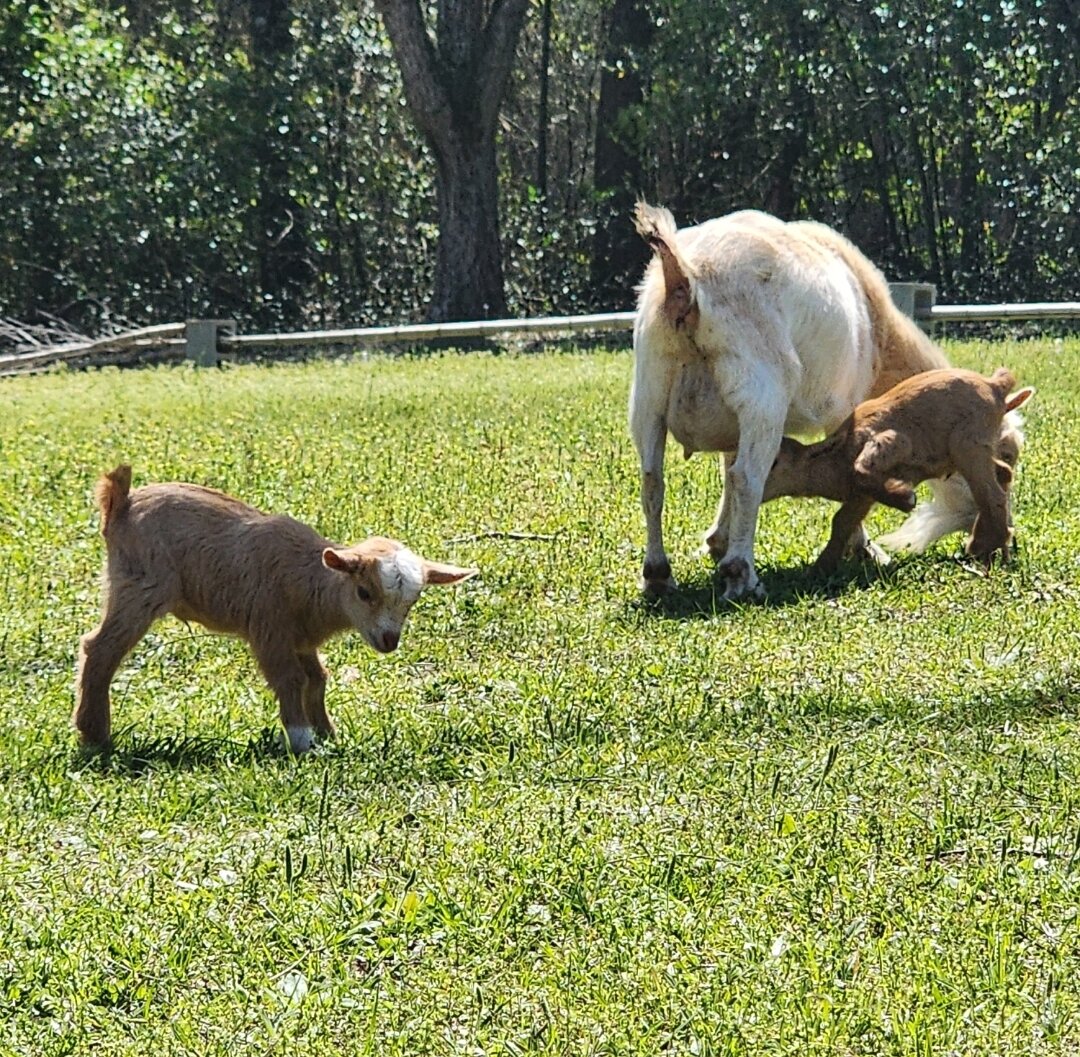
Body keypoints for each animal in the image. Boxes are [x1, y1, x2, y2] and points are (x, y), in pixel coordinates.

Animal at [75, 466, 476, 752]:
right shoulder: (269, 627)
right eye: (364, 592)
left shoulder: (301, 639)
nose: (390, 640)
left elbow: (317, 679)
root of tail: (121, 503)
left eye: (413, 600)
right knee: (100, 649)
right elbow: (290, 678)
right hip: (140, 587)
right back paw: (95, 737)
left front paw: (327, 732)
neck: (312, 580)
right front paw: (301, 740)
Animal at [761, 367, 1034, 572]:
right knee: (1002, 473)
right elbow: (841, 522)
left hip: (968, 445)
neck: (837, 454)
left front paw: (905, 498)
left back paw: (981, 546)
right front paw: (821, 567)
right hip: (972, 452)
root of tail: (996, 386)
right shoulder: (861, 496)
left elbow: (863, 469)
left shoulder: (891, 440)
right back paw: (1000, 547)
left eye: (773, 463)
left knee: (991, 494)